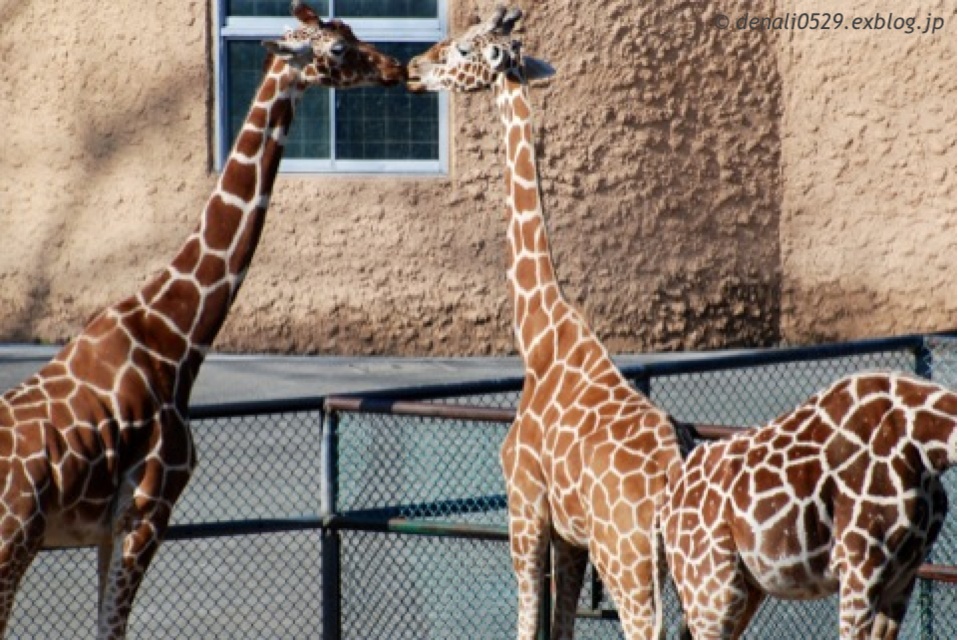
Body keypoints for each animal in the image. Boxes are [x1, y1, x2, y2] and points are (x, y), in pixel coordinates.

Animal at [0, 2, 402, 636]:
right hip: (13, 546)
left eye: (353, 30)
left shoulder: (106, 529)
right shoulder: (147, 511)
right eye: (337, 50)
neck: (176, 334)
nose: (393, 68)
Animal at [408, 7, 688, 636]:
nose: (414, 67)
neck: (538, 335)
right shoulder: (569, 534)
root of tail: (668, 482)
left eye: (464, 48)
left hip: (628, 560)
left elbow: (528, 621)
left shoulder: (525, 509)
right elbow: (560, 624)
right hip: (691, 561)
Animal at [664, 372, 956, 636]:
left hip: (746, 586)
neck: (927, 447)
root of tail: (670, 501)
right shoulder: (860, 567)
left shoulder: (903, 577)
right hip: (714, 588)